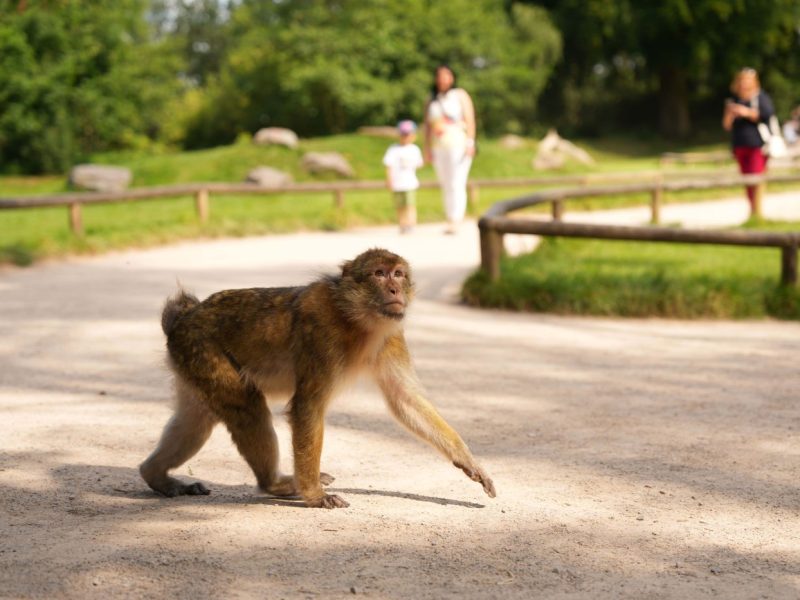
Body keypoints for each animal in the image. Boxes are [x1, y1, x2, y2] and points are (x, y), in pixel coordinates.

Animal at [141, 247, 496, 506]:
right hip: (202, 351)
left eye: (398, 273)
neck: (357, 321)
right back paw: (277, 484)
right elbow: (307, 407)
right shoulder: (322, 336)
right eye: (379, 274)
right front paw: (313, 494)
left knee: (197, 419)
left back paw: (154, 475)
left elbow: (405, 400)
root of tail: (183, 318)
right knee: (246, 406)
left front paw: (468, 460)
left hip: (190, 362)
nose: (396, 289)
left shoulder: (391, 339)